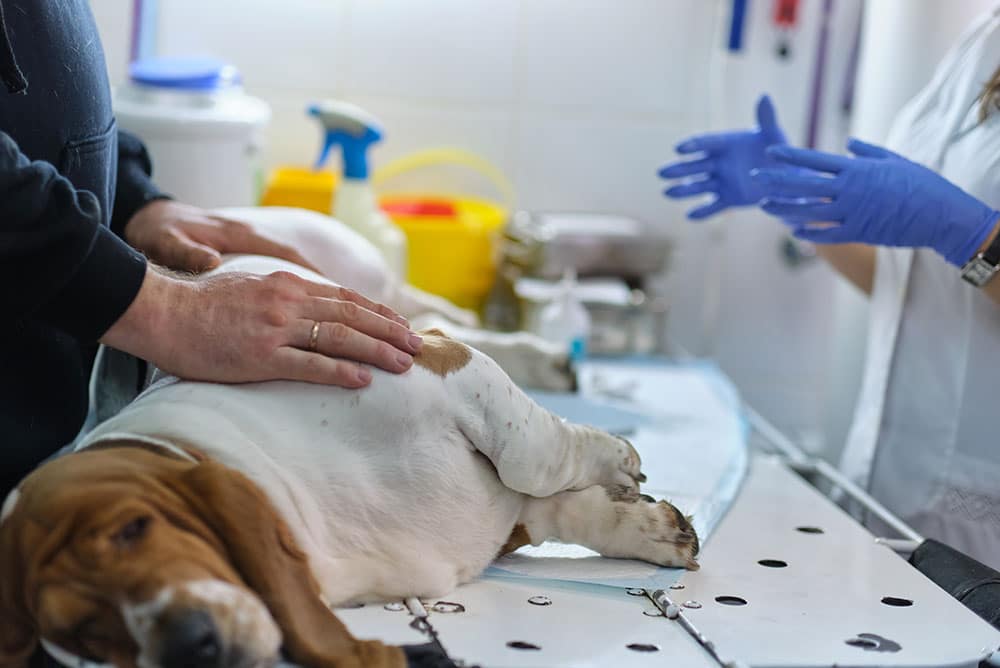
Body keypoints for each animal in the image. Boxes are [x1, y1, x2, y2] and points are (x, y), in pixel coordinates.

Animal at [0, 209, 696, 668]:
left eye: (133, 529)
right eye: (86, 635)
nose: (190, 648)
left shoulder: (438, 365)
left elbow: (535, 458)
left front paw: (618, 460)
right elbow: (550, 505)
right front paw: (647, 528)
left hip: (367, 285)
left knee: (438, 314)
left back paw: (548, 359)